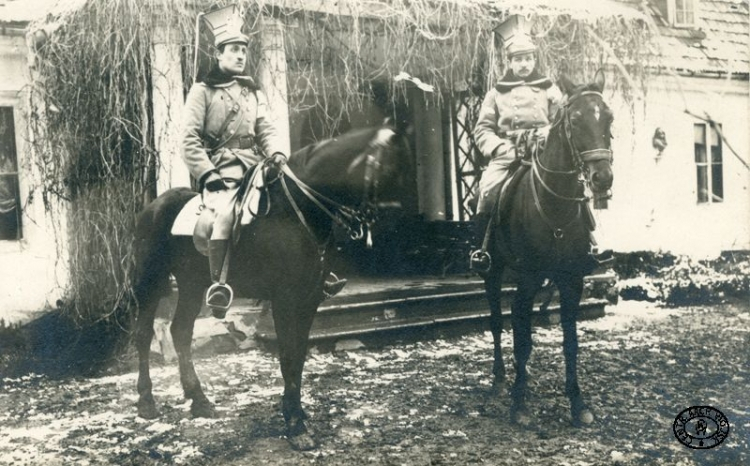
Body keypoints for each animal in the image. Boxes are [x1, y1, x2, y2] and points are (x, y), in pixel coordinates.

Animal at [132, 122, 408, 450]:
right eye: (386, 167)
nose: (399, 227)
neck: (297, 210)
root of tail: (153, 206)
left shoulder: (309, 298)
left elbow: (298, 356)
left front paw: (295, 412)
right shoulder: (284, 299)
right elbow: (288, 356)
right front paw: (296, 425)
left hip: (191, 285)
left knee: (181, 332)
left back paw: (199, 400)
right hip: (152, 282)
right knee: (145, 335)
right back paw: (147, 402)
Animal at [482, 72, 616, 426]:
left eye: (609, 117)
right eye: (575, 119)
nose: (602, 178)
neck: (554, 204)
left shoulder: (572, 280)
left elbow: (570, 342)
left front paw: (578, 404)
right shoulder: (527, 279)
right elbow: (522, 339)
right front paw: (519, 405)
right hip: (493, 271)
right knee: (498, 323)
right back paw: (501, 380)